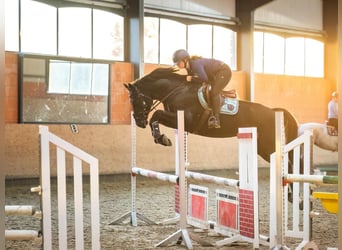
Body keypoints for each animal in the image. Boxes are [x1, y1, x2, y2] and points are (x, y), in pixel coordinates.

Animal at [124, 67, 298, 163]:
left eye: (136, 100)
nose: (139, 122)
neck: (176, 90)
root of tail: (274, 111)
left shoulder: (187, 120)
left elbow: (157, 114)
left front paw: (162, 138)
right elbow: (157, 117)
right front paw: (160, 137)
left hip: (268, 146)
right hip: (261, 147)